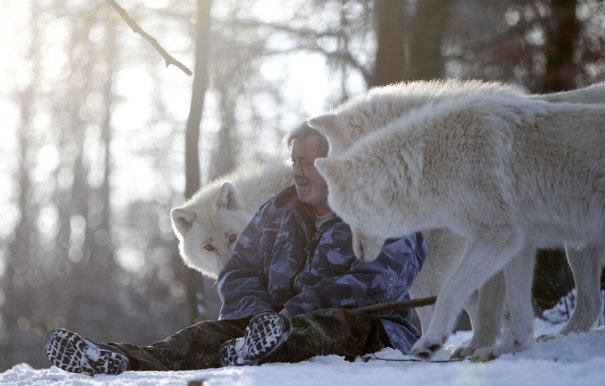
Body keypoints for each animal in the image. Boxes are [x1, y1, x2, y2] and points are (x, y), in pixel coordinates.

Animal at [310, 80, 600, 360]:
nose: (356, 250)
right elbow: (475, 300)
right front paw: (478, 343)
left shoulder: (468, 245)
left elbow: (452, 295)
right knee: (592, 304)